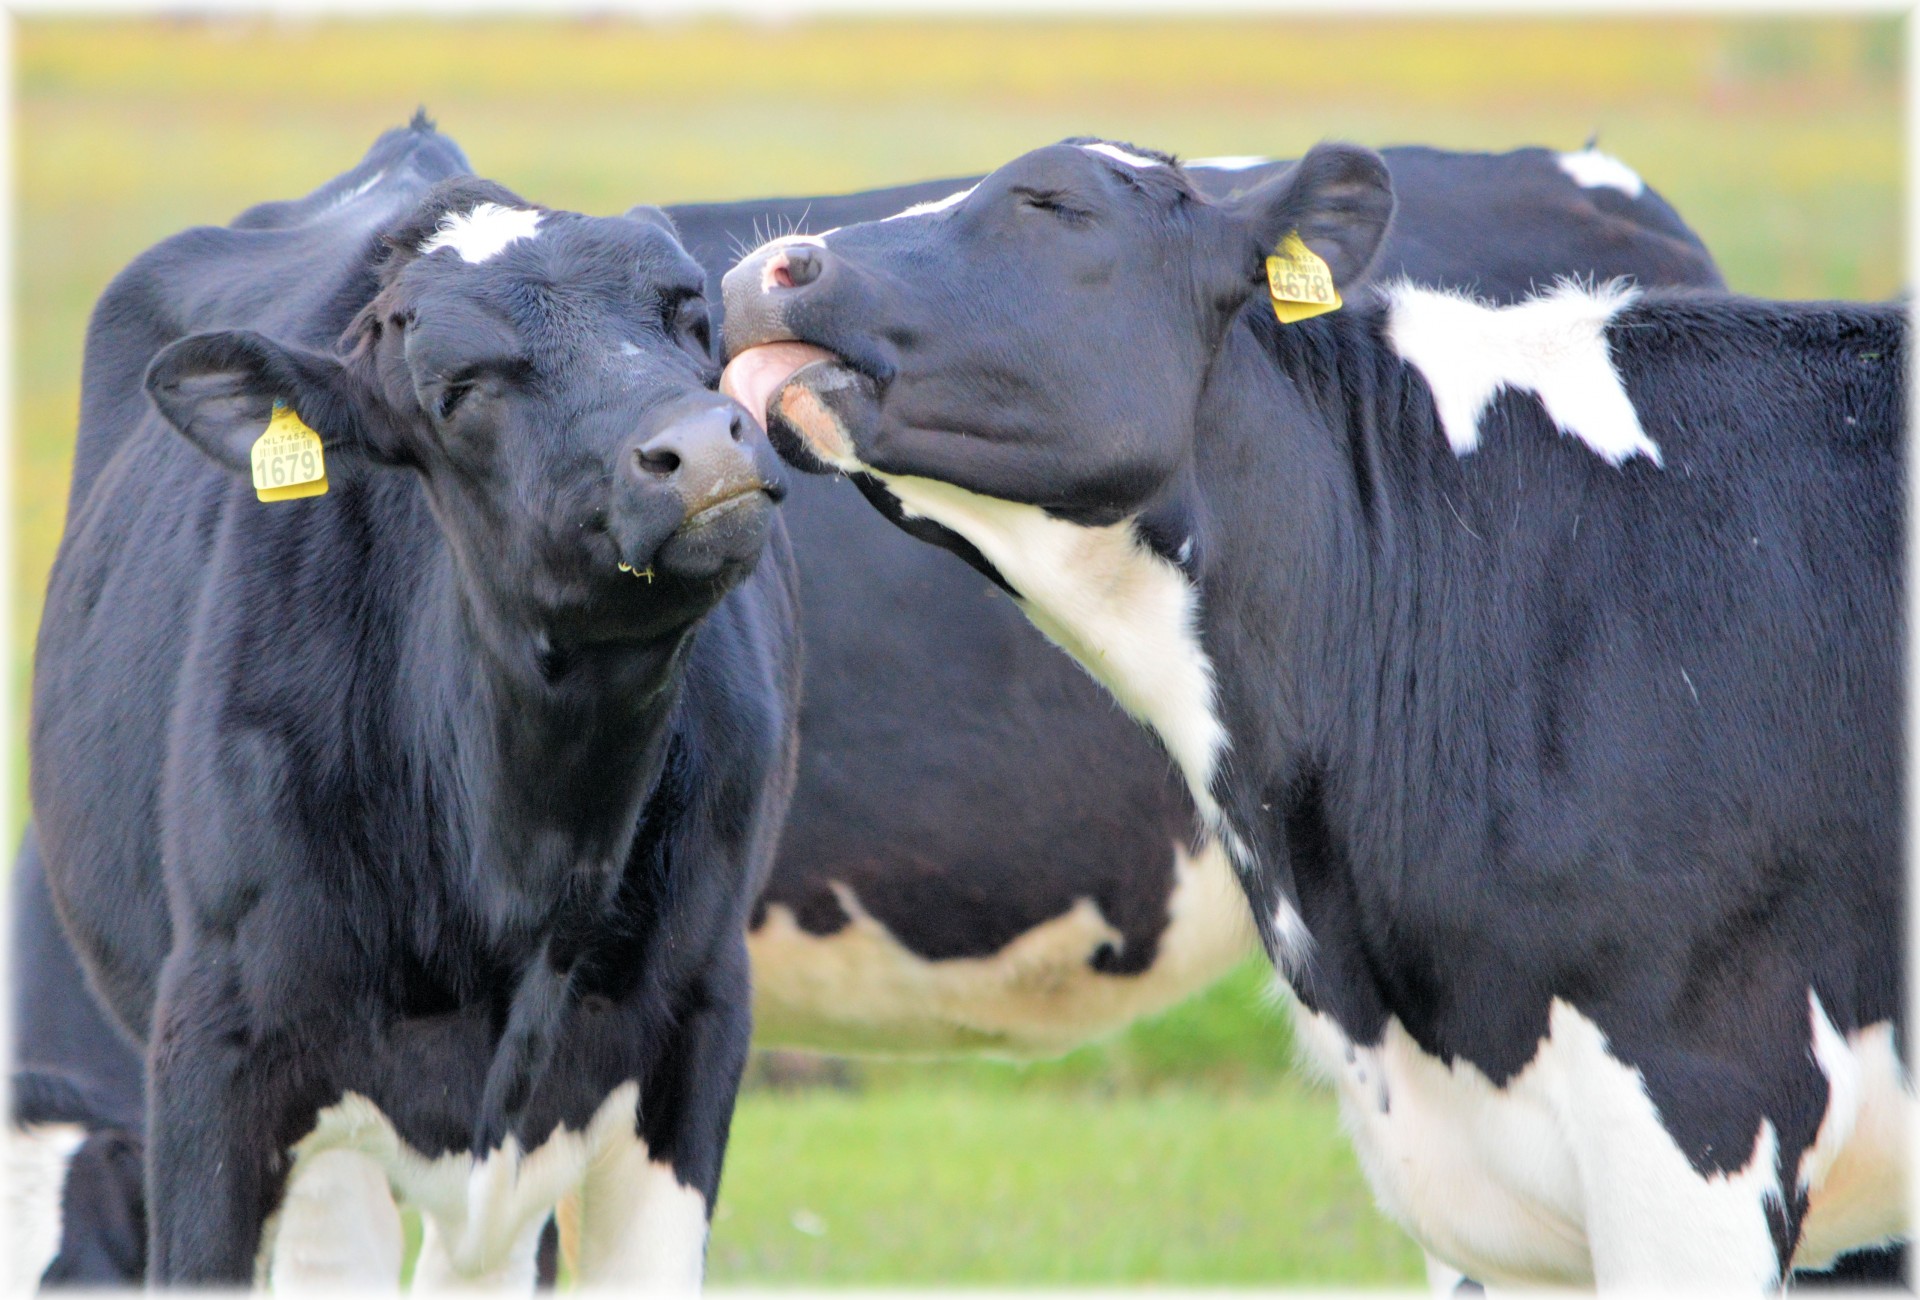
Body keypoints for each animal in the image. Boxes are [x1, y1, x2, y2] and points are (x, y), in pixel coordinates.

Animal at [30, 114, 794, 1290]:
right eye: (459, 389)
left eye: (688, 313)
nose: (706, 446)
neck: (527, 859)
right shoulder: (216, 1047)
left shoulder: (696, 1023)